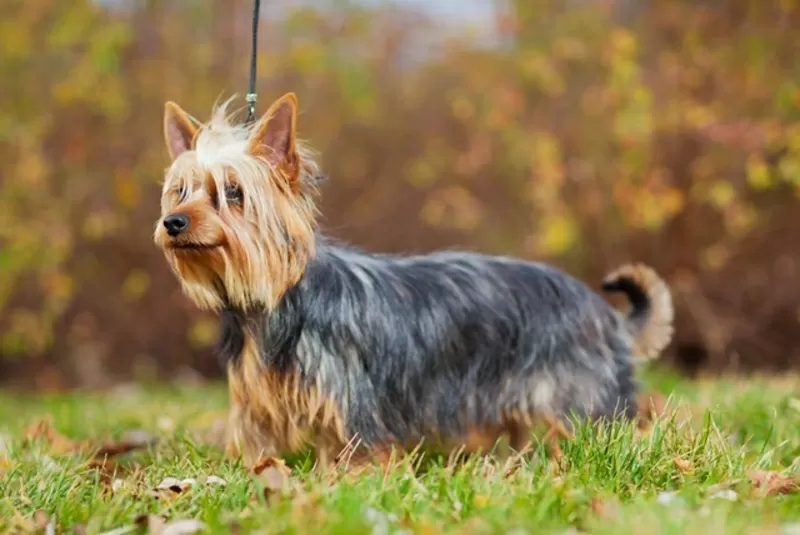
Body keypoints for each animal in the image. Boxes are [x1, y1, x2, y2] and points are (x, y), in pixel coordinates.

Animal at [153, 94, 672, 472]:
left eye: (233, 194)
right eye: (180, 192)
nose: (173, 222)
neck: (278, 302)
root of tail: (604, 314)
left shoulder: (357, 409)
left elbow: (360, 459)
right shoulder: (258, 407)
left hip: (582, 399)